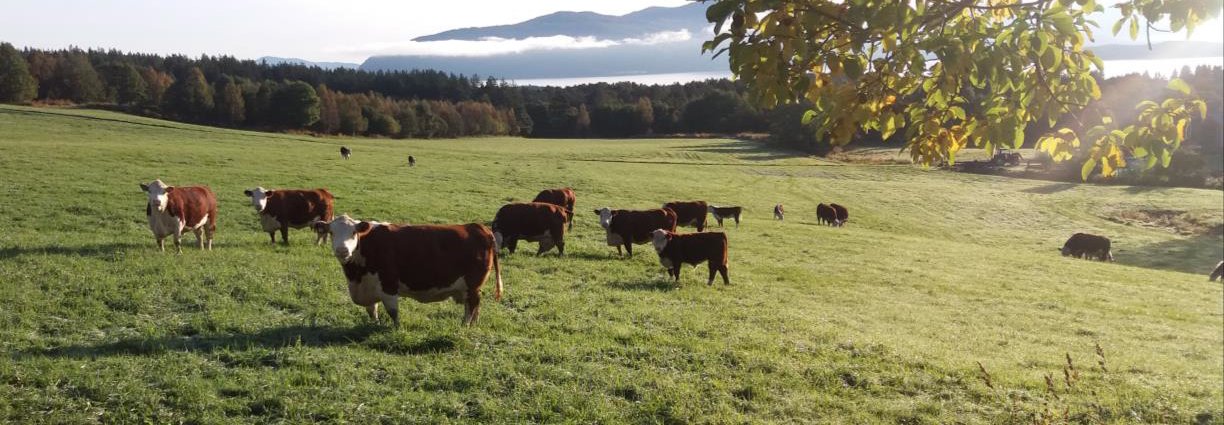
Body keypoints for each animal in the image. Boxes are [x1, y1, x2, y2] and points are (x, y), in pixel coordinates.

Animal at [315, 214, 506, 328]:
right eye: (331, 233)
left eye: (354, 233)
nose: (342, 250)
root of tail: (479, 227)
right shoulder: (368, 287)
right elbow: (372, 310)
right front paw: (375, 324)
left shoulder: (389, 284)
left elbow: (393, 312)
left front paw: (396, 328)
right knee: (474, 306)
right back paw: (472, 325)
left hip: (472, 286)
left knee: (472, 306)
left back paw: (464, 326)